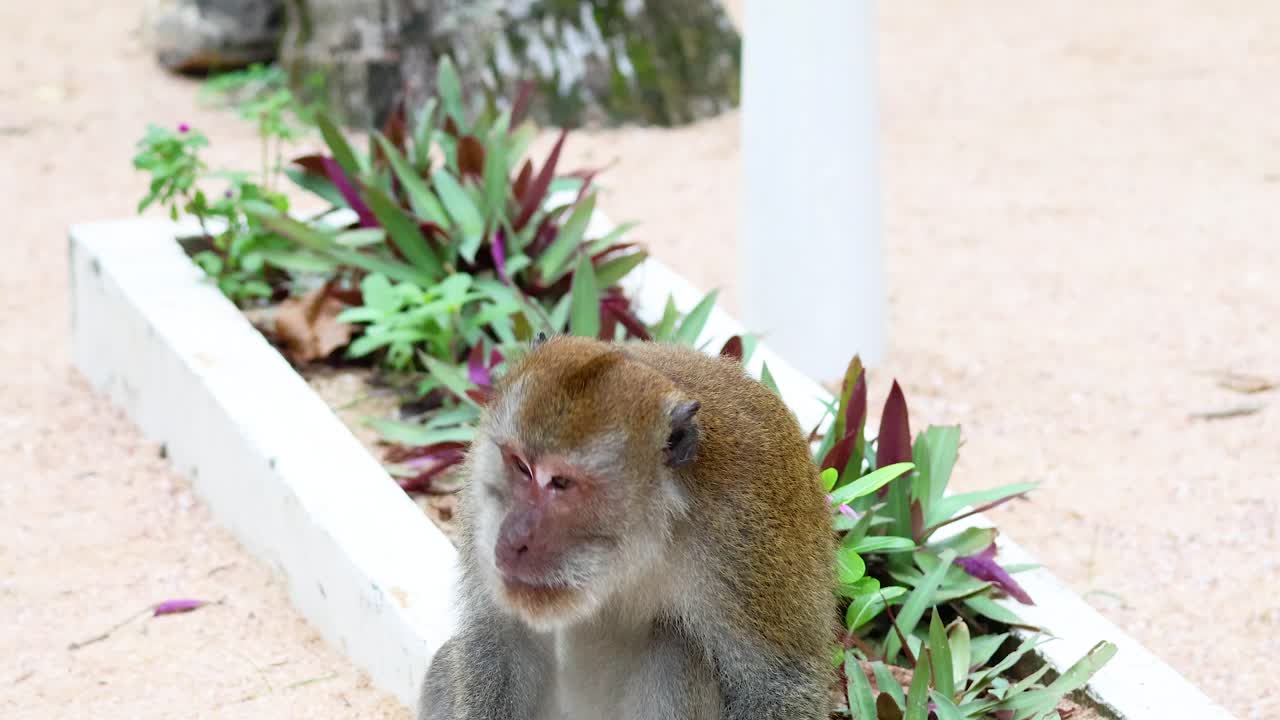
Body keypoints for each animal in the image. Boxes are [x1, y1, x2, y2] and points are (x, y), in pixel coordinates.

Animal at [418, 335, 835, 720]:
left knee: (676, 646)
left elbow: (778, 685)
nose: (512, 539)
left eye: (561, 483)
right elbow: (499, 633)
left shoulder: (741, 538)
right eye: (521, 467)